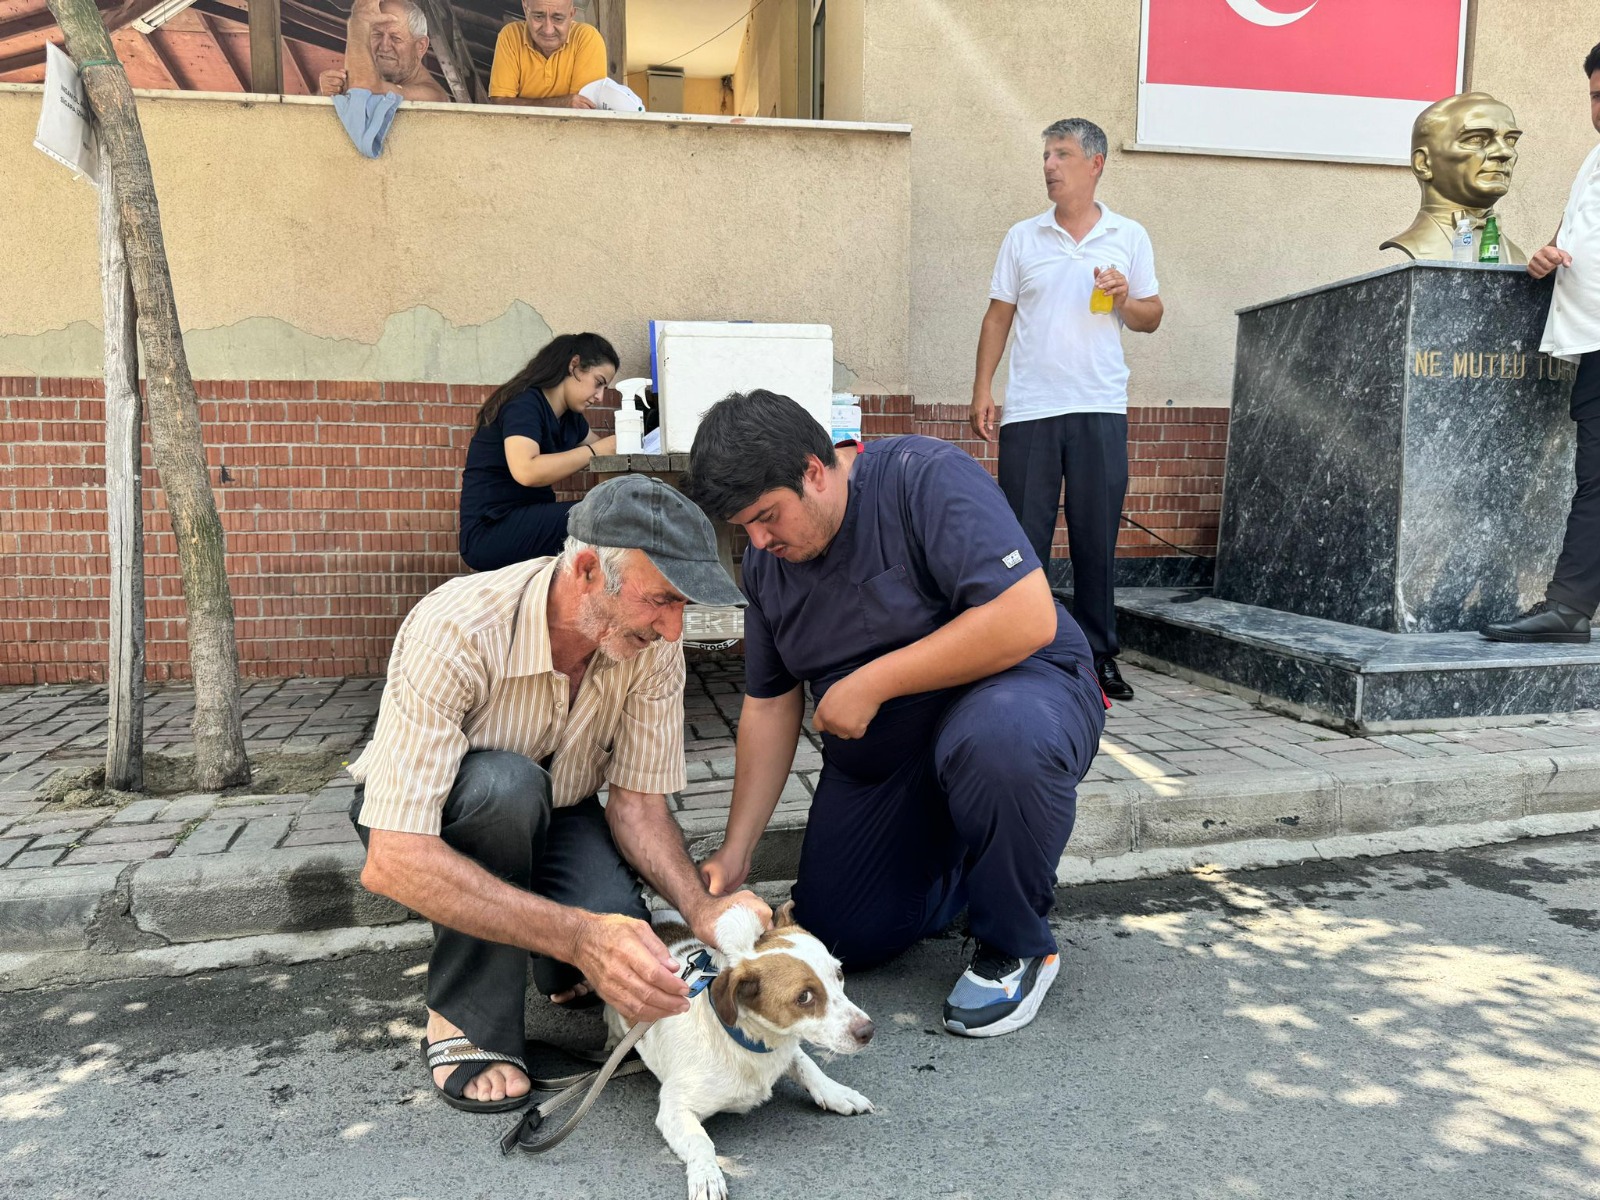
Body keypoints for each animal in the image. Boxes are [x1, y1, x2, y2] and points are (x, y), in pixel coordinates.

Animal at [601, 902, 876, 1200]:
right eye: (804, 997)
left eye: (839, 974)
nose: (868, 1031)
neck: (748, 1044)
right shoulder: (675, 1107)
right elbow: (700, 1142)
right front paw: (707, 1175)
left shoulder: (785, 1047)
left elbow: (807, 1066)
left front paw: (837, 1093)